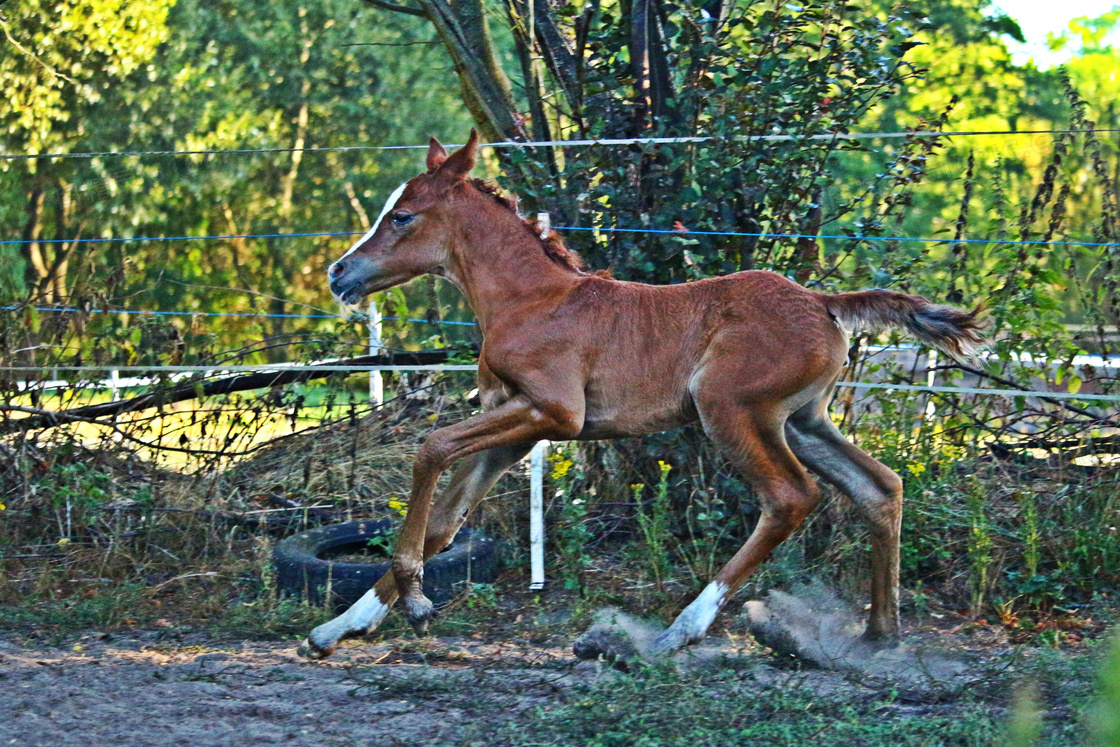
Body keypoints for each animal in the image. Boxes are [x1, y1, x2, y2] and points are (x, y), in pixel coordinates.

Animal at [300, 132, 981, 658]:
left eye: (403, 216)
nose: (338, 272)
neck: (530, 300)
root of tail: (823, 303)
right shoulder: (512, 428)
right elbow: (445, 521)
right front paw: (338, 627)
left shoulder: (555, 413)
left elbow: (430, 449)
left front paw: (416, 598)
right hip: (802, 421)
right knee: (879, 486)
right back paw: (879, 636)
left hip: (731, 410)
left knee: (791, 498)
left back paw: (682, 630)